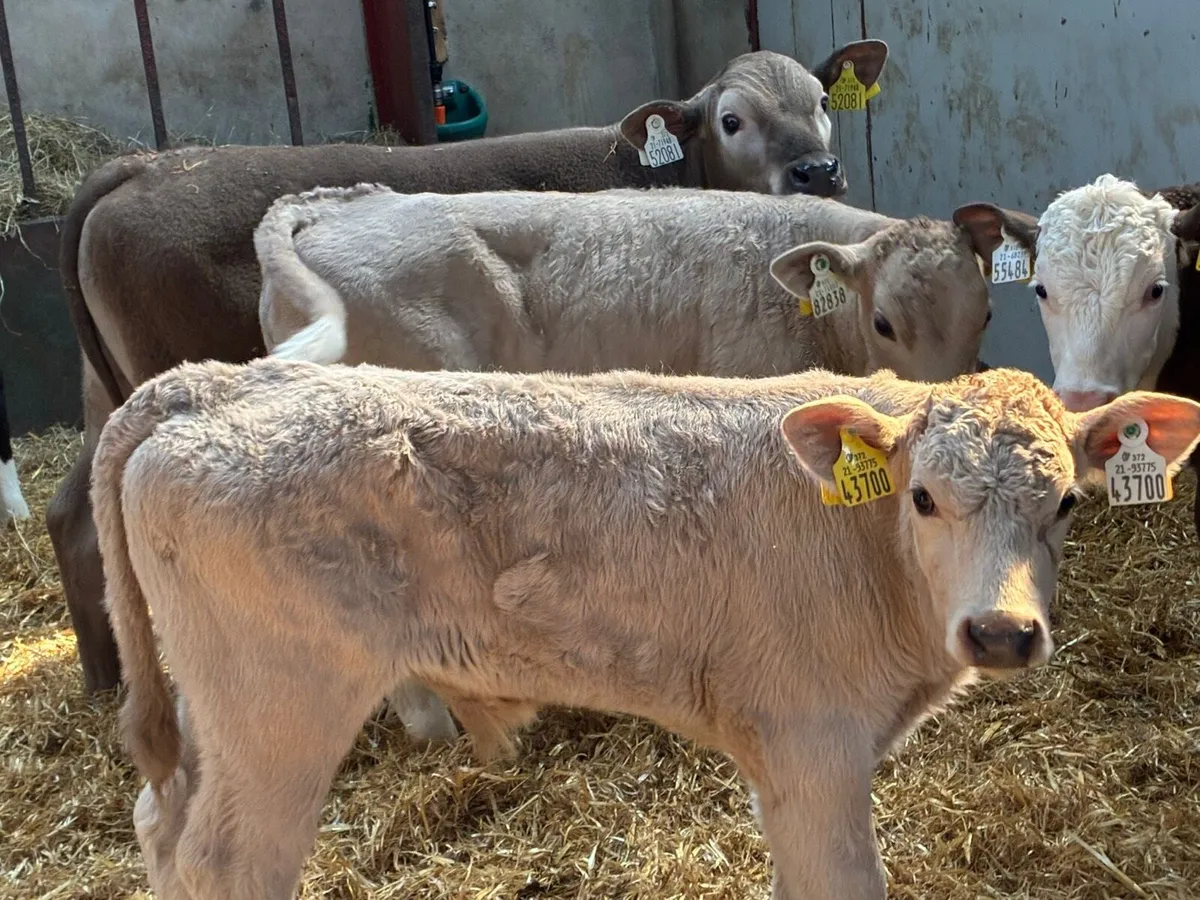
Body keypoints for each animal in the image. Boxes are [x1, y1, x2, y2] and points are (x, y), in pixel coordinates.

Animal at [48, 42, 891, 693]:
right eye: (731, 120)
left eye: (822, 99)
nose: (819, 170)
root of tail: (138, 168)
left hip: (104, 392)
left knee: (74, 520)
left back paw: (103, 681)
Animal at [93, 357, 1200, 900]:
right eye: (923, 498)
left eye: (1067, 504)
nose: (1002, 633)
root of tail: (209, 380)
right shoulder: (814, 740)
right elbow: (842, 882)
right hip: (280, 705)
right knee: (228, 863)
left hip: (211, 704)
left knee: (163, 824)